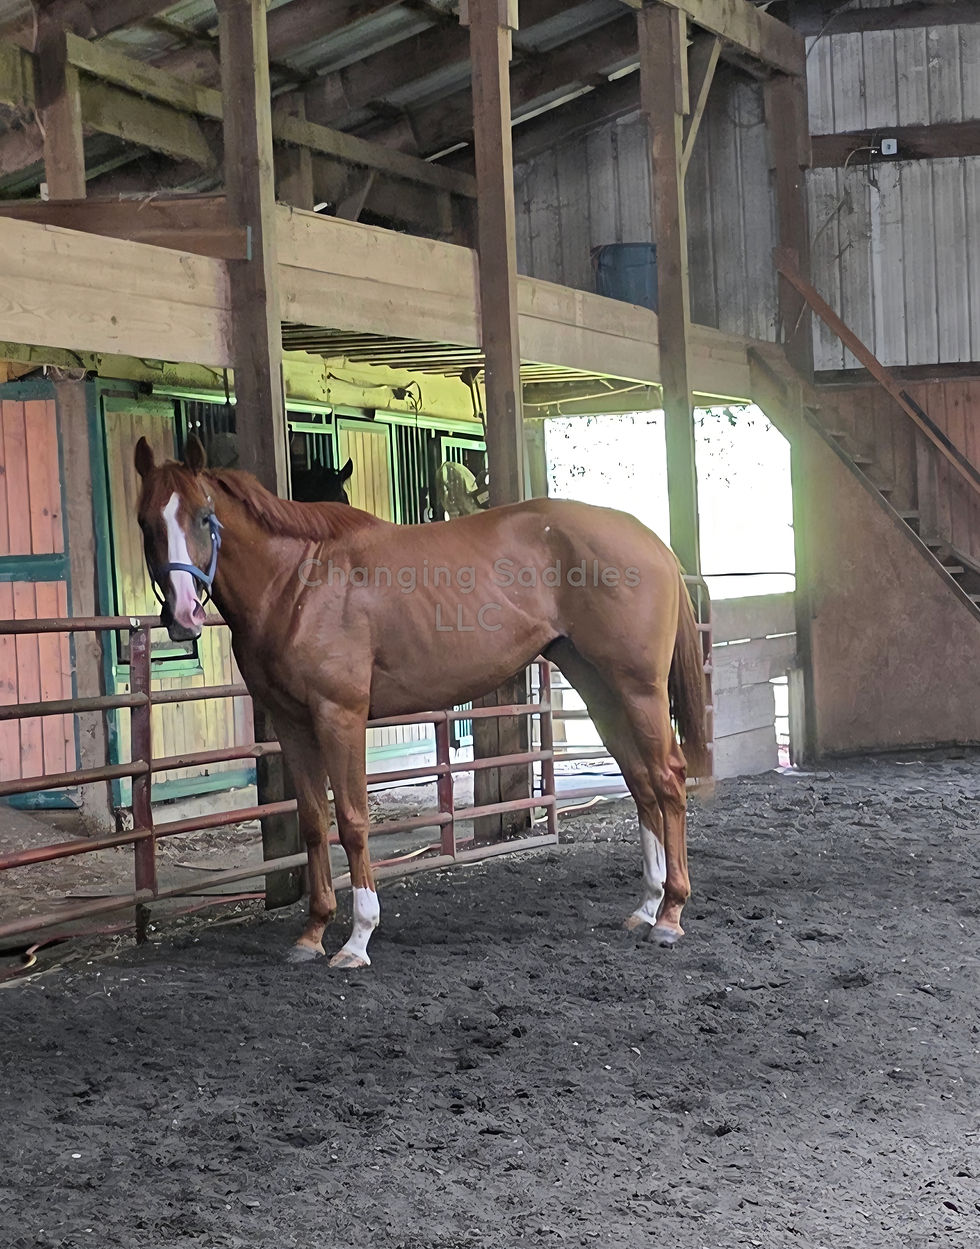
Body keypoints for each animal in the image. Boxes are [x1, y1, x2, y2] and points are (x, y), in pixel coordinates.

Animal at [133, 435, 708, 969]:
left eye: (204, 516)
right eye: (145, 523)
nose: (182, 616)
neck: (299, 584)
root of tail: (651, 541)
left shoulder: (339, 716)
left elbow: (352, 821)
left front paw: (357, 939)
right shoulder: (291, 723)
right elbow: (313, 823)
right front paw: (312, 933)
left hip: (639, 690)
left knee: (668, 779)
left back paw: (671, 915)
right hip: (597, 687)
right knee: (641, 783)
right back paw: (646, 906)